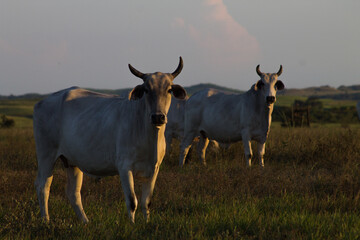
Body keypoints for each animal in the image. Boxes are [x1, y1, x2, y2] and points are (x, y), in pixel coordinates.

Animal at [33, 56, 187, 223]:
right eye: (146, 89)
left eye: (169, 90)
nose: (158, 117)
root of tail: (43, 102)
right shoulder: (124, 167)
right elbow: (132, 201)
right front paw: (132, 224)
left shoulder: (154, 168)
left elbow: (146, 202)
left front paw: (146, 223)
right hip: (46, 155)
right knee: (43, 186)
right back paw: (46, 220)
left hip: (72, 161)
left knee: (73, 192)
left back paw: (85, 222)